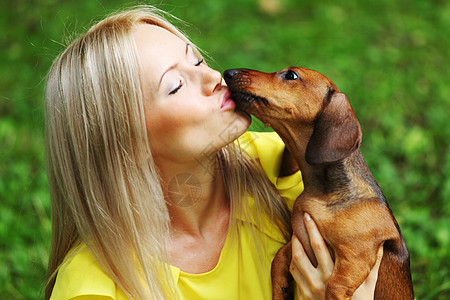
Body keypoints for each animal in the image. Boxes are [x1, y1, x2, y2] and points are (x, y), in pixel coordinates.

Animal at [223, 68, 414, 300]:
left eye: (291, 75)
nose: (229, 72)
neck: (323, 193)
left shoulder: (356, 256)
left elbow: (333, 287)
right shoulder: (299, 239)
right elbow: (278, 258)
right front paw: (280, 289)